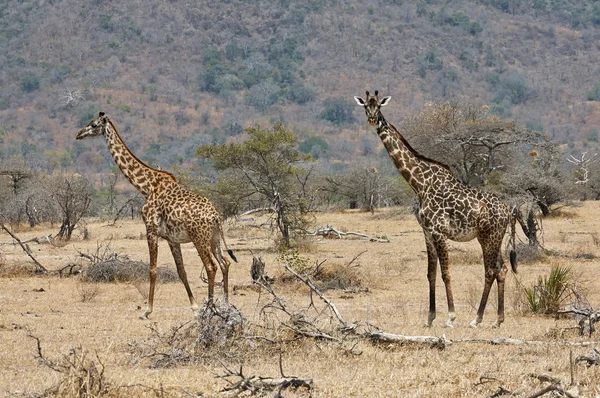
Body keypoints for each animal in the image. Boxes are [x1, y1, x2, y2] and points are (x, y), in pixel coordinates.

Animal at [74, 112, 234, 320]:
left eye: (93, 125)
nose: (79, 134)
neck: (147, 187)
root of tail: (215, 216)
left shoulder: (150, 230)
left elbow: (152, 270)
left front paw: (147, 310)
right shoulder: (172, 239)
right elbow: (181, 271)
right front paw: (194, 306)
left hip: (200, 238)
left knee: (211, 266)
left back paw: (211, 308)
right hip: (214, 238)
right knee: (225, 263)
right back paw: (226, 304)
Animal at [354, 91, 516, 328]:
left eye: (379, 106)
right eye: (365, 106)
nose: (373, 120)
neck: (420, 184)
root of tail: (508, 210)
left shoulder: (439, 232)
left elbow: (445, 273)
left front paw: (450, 317)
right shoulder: (427, 232)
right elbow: (430, 273)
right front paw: (429, 318)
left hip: (490, 237)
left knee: (490, 271)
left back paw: (476, 319)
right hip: (489, 237)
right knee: (501, 269)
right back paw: (498, 320)